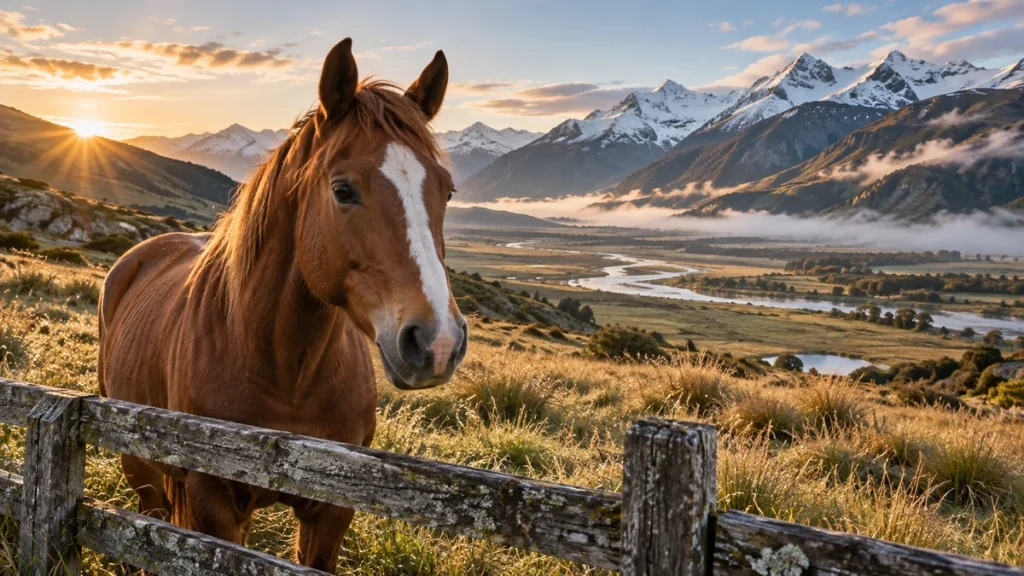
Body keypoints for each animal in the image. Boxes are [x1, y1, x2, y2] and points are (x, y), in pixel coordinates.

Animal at [97, 38, 468, 571]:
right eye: (342, 189)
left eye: (447, 189)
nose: (437, 343)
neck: (289, 371)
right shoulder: (211, 496)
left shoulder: (333, 505)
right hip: (138, 462)